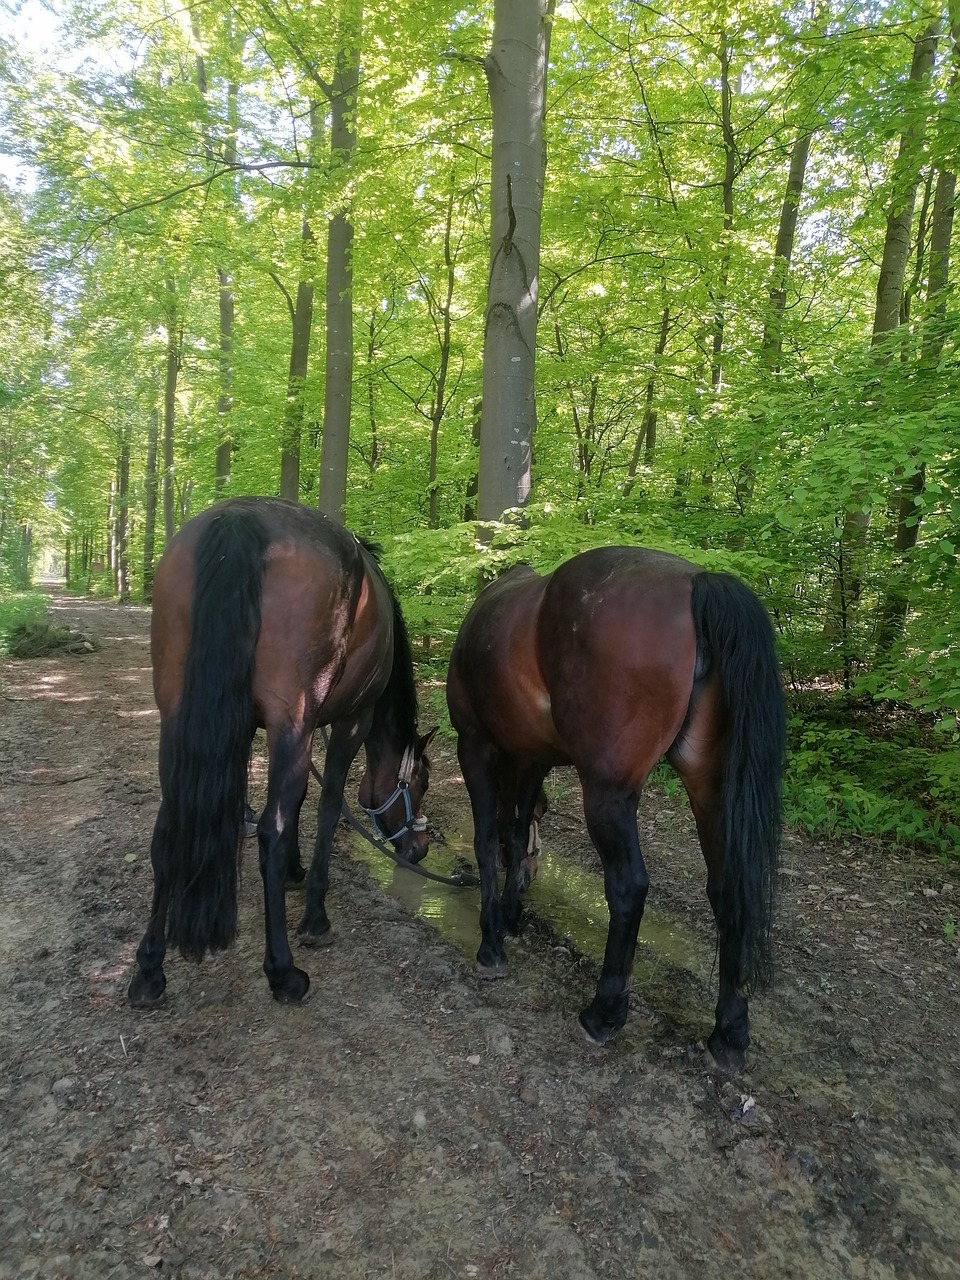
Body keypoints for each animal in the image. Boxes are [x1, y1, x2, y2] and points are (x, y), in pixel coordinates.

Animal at [128, 497, 435, 1008]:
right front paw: (314, 914)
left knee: (168, 826)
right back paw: (283, 971)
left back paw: (149, 970)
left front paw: (293, 870)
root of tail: (239, 520)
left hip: (177, 720)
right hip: (292, 719)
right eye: (422, 782)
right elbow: (326, 806)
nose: (419, 848)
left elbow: (297, 802)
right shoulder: (348, 722)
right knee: (268, 829)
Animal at [445, 546, 785, 1070]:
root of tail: (698, 583)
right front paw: (511, 914)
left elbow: (488, 842)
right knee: (728, 890)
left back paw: (604, 1012)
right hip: (710, 788)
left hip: (608, 792)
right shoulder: (532, 759)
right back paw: (729, 1034)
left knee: (628, 887)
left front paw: (491, 943)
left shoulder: (475, 746)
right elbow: (516, 836)